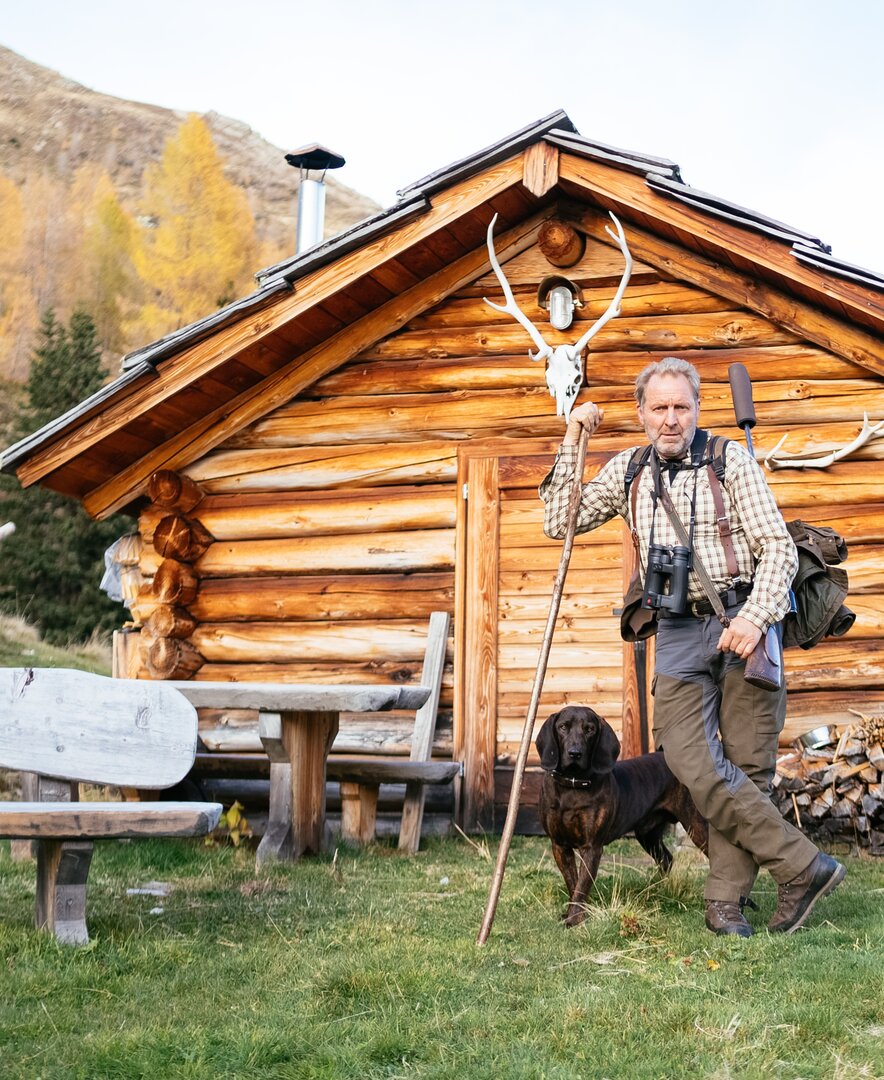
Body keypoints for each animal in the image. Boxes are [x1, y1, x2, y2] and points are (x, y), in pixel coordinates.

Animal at [535, 704, 708, 924]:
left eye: (589, 729)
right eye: (563, 727)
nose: (575, 753)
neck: (572, 786)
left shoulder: (592, 847)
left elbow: (582, 885)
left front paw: (574, 919)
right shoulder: (560, 845)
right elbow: (572, 882)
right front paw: (575, 915)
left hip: (696, 825)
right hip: (648, 835)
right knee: (666, 859)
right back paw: (658, 891)